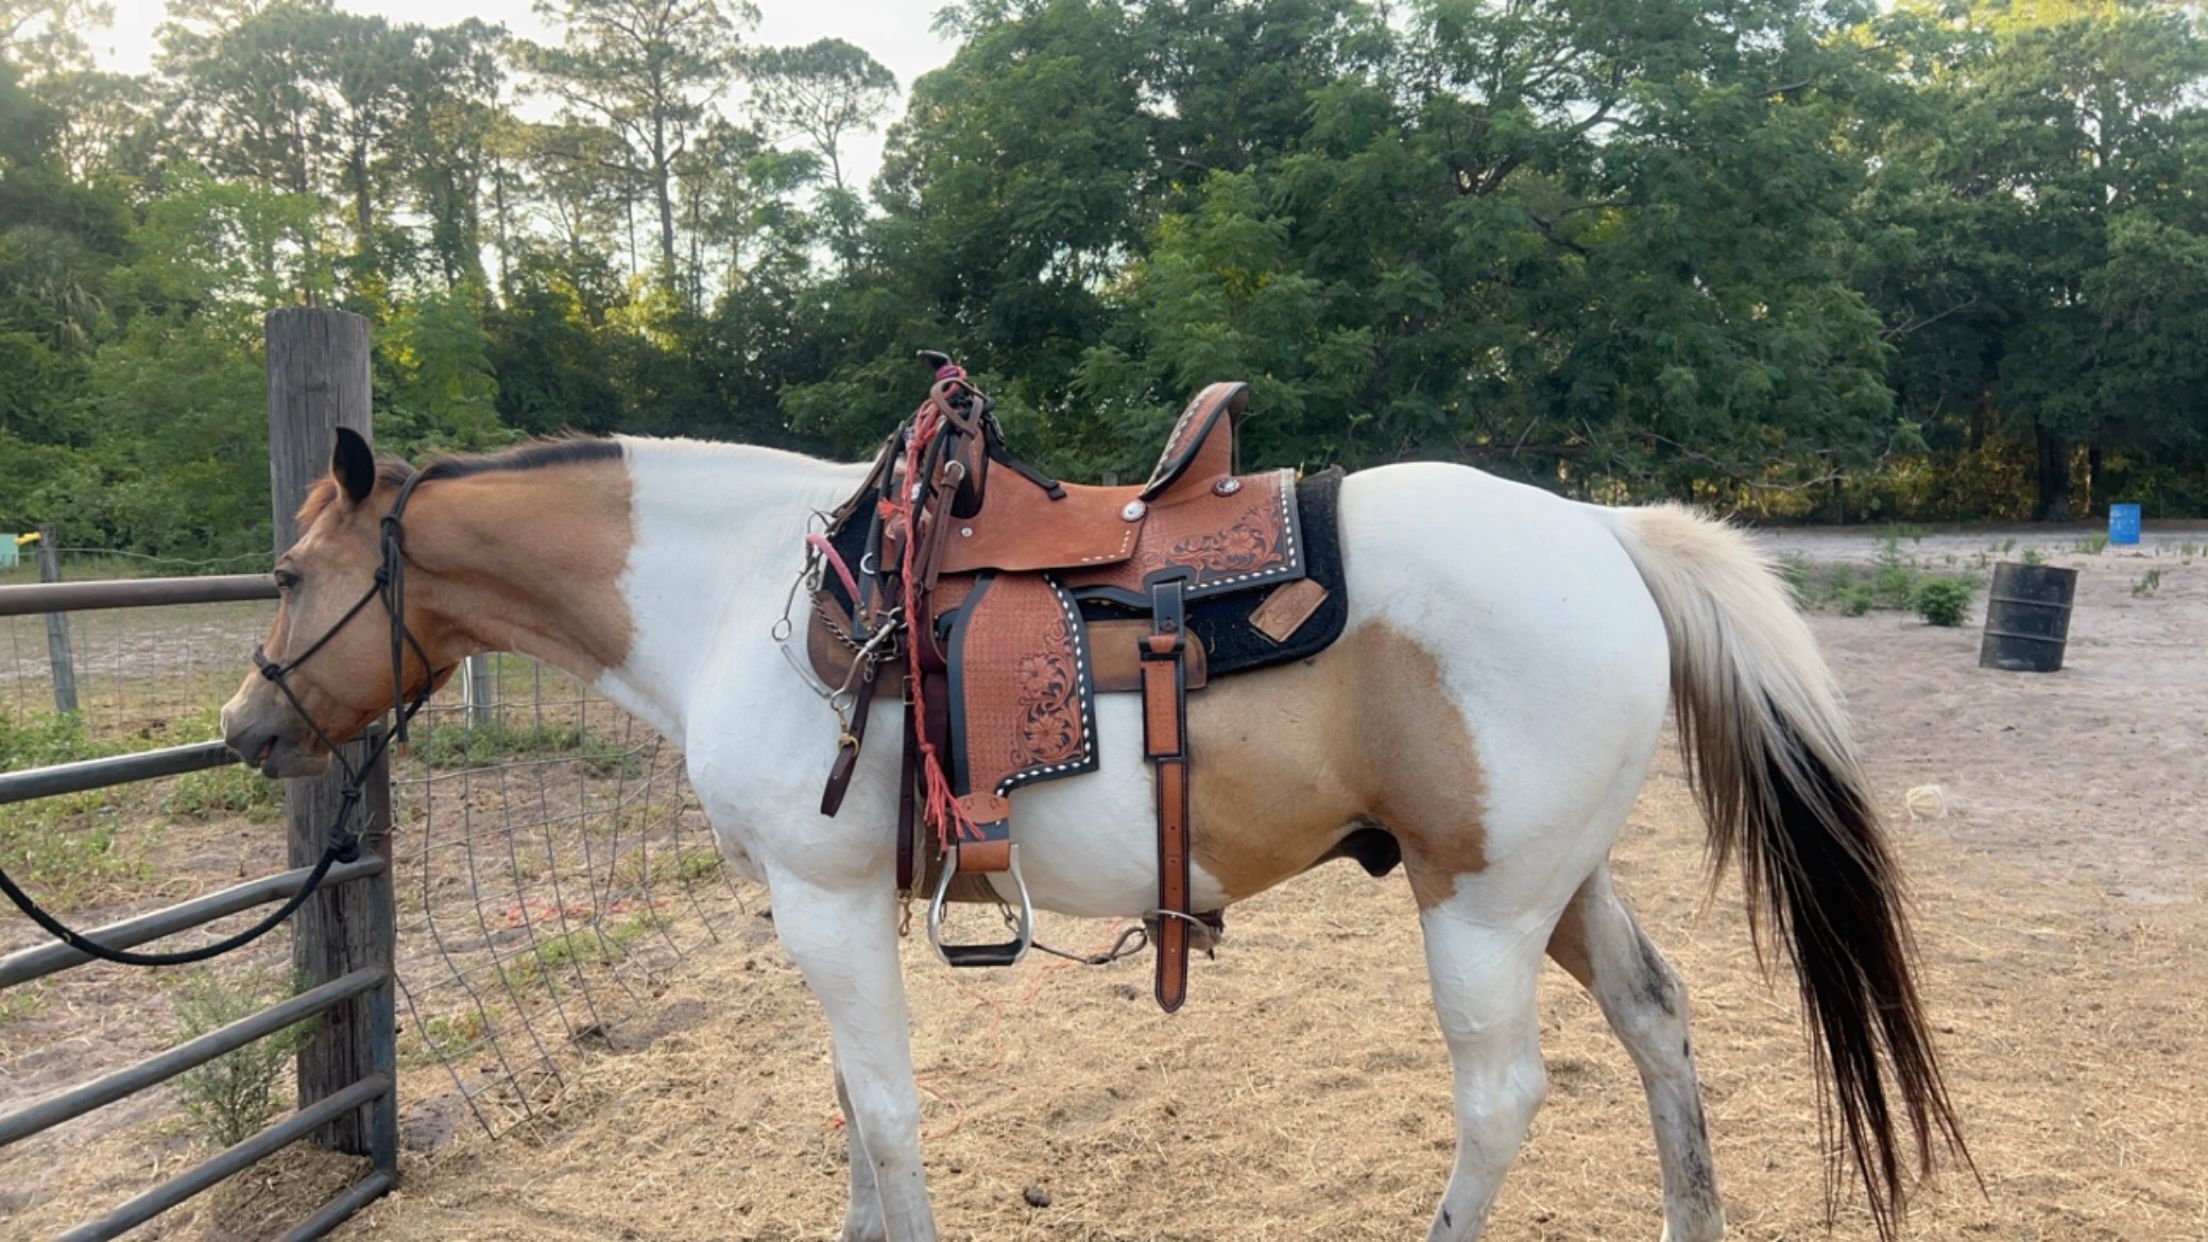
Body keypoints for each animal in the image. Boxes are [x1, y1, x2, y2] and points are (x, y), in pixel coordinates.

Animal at [220, 426, 1965, 1241]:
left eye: (293, 575)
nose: (246, 729)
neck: (745, 597)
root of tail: (1599, 532)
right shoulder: (838, 912)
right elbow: (856, 1118)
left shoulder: (824, 901)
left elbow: (886, 1113)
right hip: (1556, 886)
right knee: (1663, 1028)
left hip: (1478, 909)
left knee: (1502, 1097)